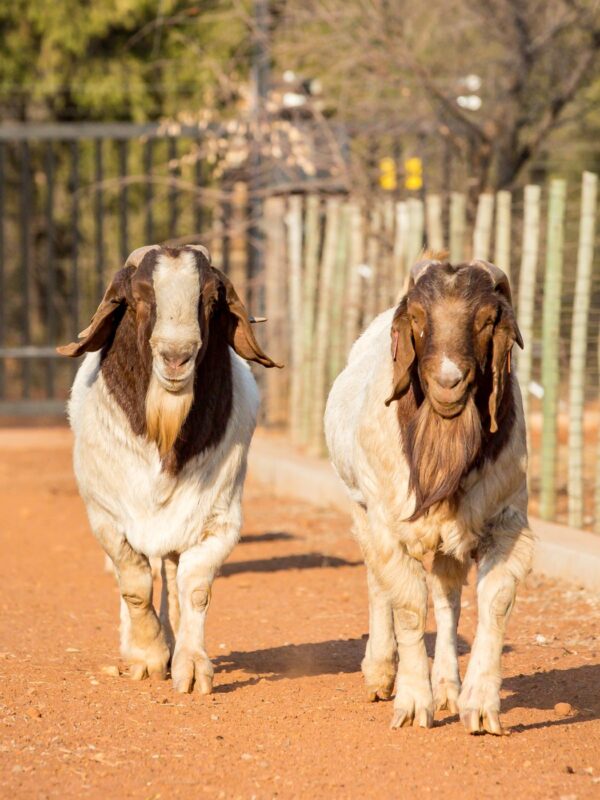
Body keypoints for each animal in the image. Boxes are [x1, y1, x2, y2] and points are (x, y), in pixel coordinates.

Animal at [58, 244, 278, 692]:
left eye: (210, 299)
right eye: (139, 297)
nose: (176, 358)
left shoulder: (218, 520)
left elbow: (194, 590)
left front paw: (190, 665)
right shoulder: (107, 518)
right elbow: (135, 586)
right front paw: (148, 656)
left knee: (173, 579)